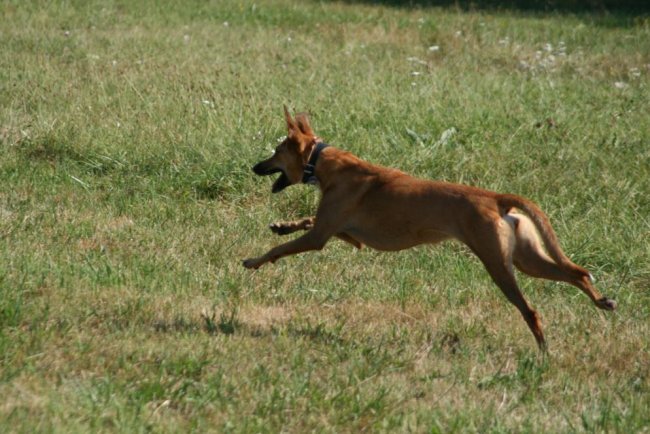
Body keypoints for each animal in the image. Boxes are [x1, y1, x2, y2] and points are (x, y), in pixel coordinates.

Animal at [242, 108, 612, 350]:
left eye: (275, 151)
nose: (254, 167)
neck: (325, 163)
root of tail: (496, 200)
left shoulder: (322, 235)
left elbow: (282, 249)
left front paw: (254, 261)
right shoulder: (343, 232)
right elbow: (305, 222)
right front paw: (282, 225)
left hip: (498, 264)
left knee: (531, 310)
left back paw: (543, 350)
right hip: (527, 258)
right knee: (577, 273)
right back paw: (602, 301)